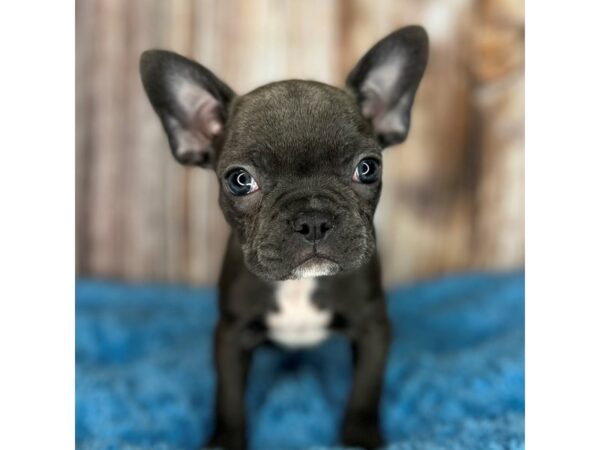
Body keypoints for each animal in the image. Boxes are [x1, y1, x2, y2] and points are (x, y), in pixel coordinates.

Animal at [139, 26, 432, 448]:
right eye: (240, 180)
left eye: (367, 168)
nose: (313, 219)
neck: (299, 287)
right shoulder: (230, 333)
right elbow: (229, 397)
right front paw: (225, 440)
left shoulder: (373, 326)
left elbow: (365, 389)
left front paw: (360, 437)